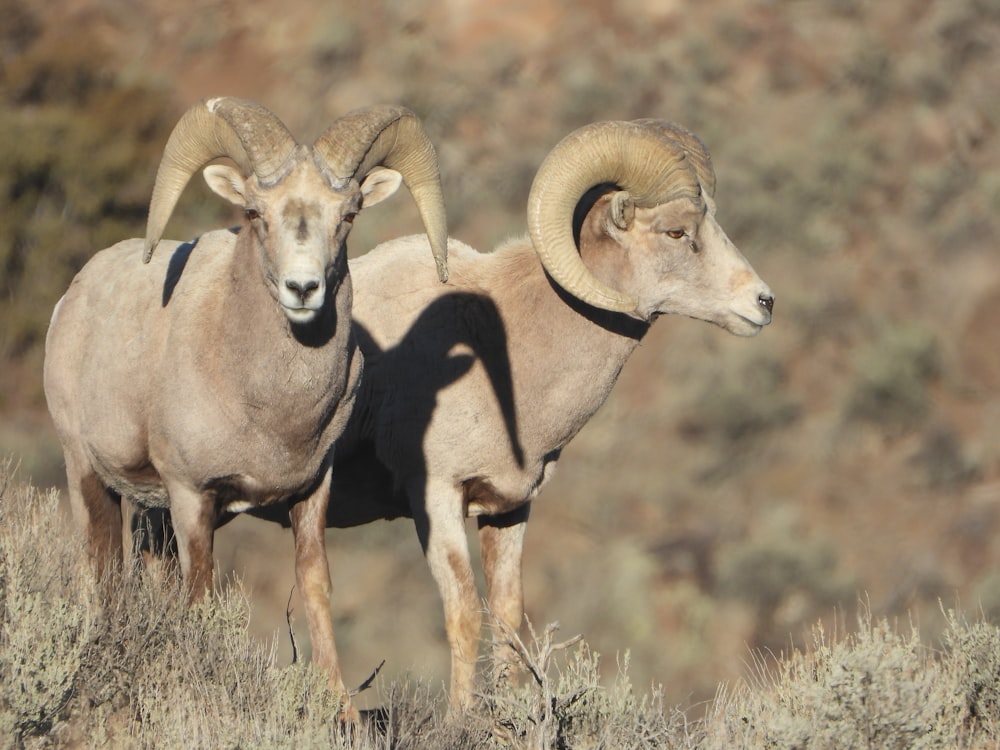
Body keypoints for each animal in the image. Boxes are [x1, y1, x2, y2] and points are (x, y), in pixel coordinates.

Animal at [43, 97, 448, 712]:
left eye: (348, 215)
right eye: (256, 213)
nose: (303, 289)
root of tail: (72, 297)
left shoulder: (311, 491)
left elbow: (315, 587)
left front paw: (340, 709)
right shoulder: (192, 496)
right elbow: (200, 594)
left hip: (153, 512)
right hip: (88, 474)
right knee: (103, 570)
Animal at [328, 117, 772, 712]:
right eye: (677, 233)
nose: (763, 303)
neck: (499, 351)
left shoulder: (509, 509)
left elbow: (508, 620)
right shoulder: (437, 498)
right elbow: (464, 615)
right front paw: (460, 719)